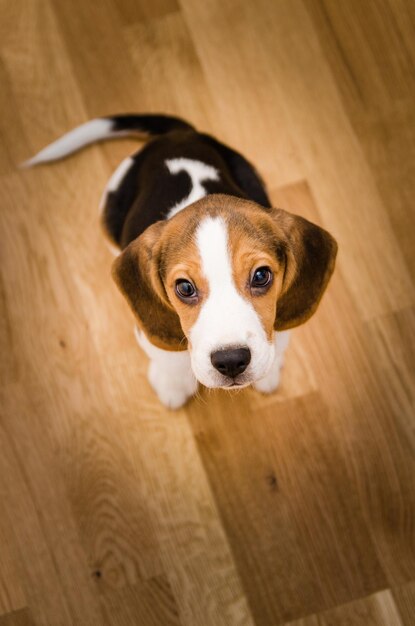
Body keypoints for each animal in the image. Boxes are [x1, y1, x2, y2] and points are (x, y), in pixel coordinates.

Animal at [22, 112, 338, 408]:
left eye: (261, 276)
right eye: (185, 288)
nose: (231, 361)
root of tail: (179, 135)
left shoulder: (277, 323)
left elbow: (277, 341)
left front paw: (269, 373)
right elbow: (169, 358)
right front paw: (172, 386)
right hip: (109, 208)